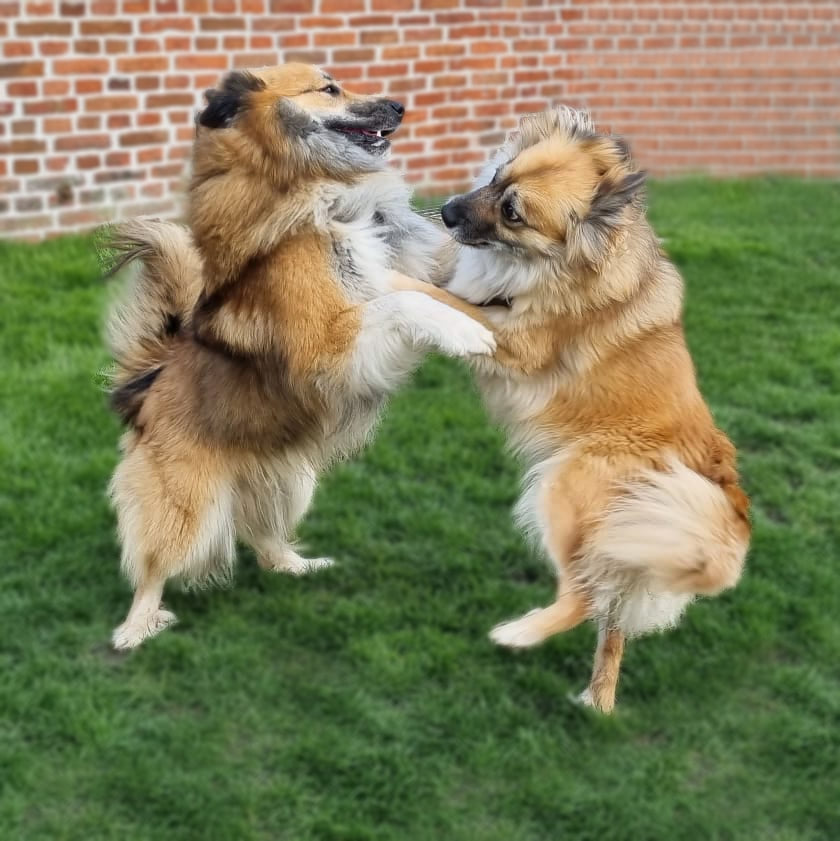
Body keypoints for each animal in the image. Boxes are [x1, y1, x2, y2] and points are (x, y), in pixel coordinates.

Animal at [104, 64, 498, 648]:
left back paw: (300, 566)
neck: (308, 187)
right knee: (154, 565)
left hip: (291, 480)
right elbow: (405, 303)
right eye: (329, 88)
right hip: (188, 504)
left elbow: (425, 289)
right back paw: (136, 628)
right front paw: (466, 332)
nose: (400, 106)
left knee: (264, 542)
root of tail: (148, 386)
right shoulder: (327, 347)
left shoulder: (386, 272)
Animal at [436, 105, 752, 708]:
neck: (553, 265)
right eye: (497, 176)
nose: (444, 211)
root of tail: (719, 485)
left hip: (565, 489)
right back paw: (598, 700)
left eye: (512, 213)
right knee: (609, 610)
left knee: (584, 596)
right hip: (633, 538)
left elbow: (430, 293)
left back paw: (518, 634)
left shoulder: (509, 338)